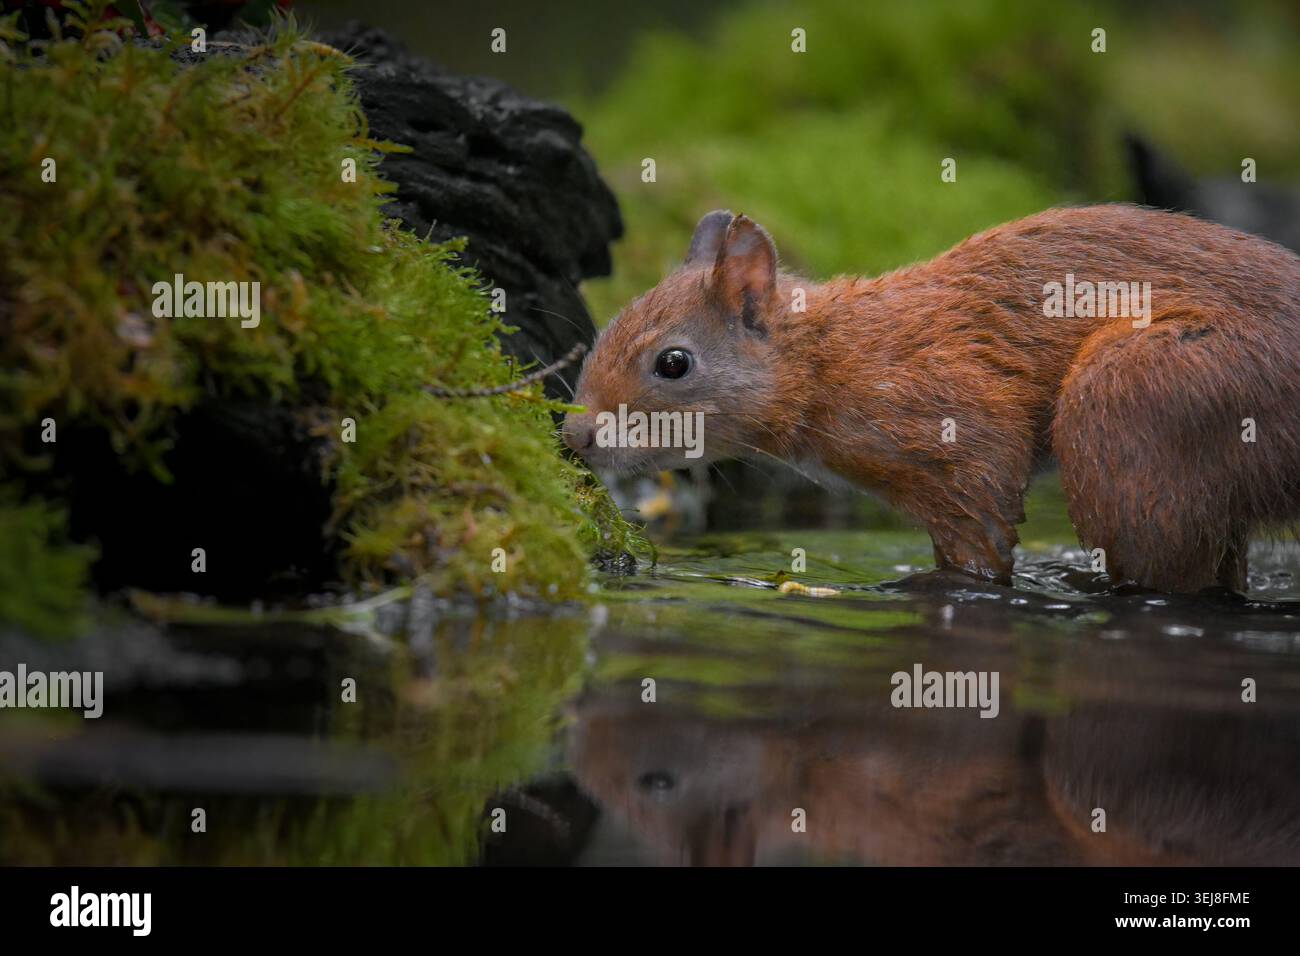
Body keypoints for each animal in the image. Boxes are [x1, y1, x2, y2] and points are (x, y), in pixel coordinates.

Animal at [563, 206, 1300, 592]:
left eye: (673, 362)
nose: (574, 437)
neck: (833, 356)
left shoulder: (959, 427)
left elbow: (981, 532)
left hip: (1138, 397)